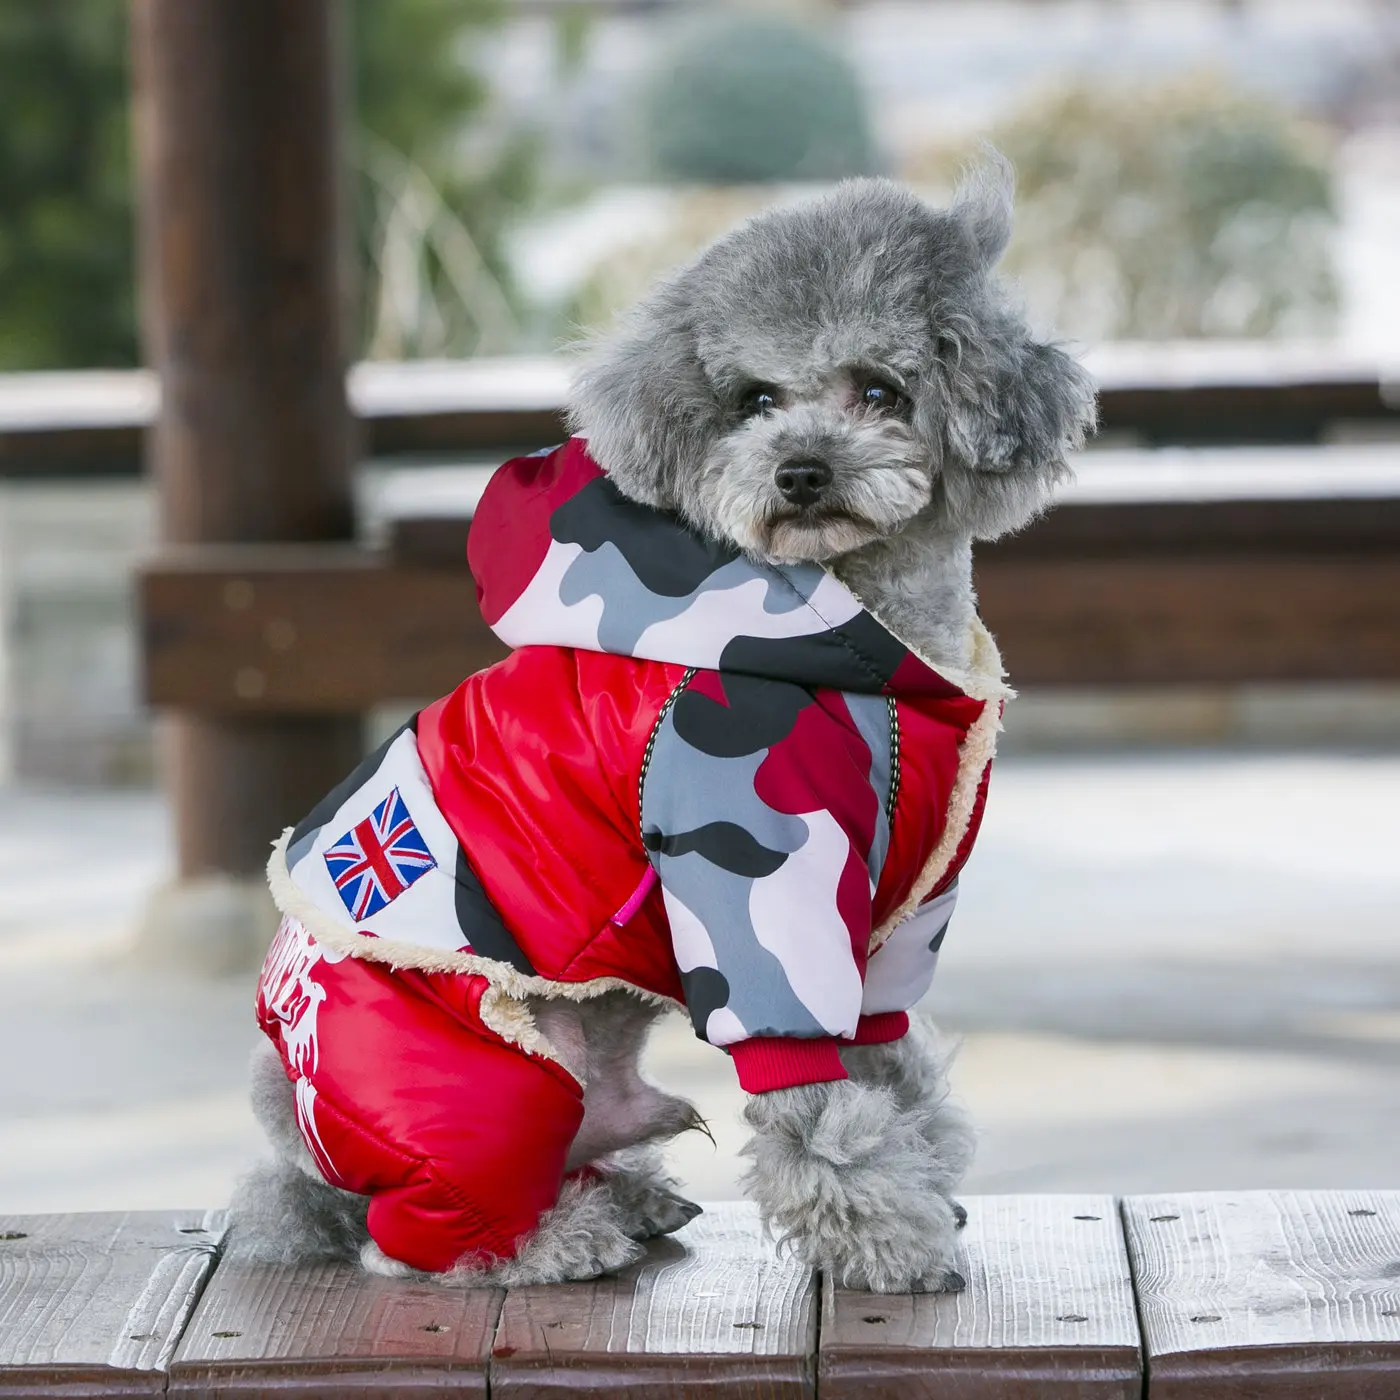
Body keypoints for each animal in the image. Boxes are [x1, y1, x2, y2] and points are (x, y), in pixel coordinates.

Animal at [235, 158, 1097, 1293]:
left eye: (881, 388)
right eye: (754, 401)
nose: (800, 470)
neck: (875, 651)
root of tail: (294, 1137)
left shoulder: (901, 915)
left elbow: (889, 1065)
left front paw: (920, 1181)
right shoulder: (761, 887)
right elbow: (817, 1103)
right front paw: (888, 1238)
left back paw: (630, 1194)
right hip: (485, 1092)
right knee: (411, 1243)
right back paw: (562, 1238)